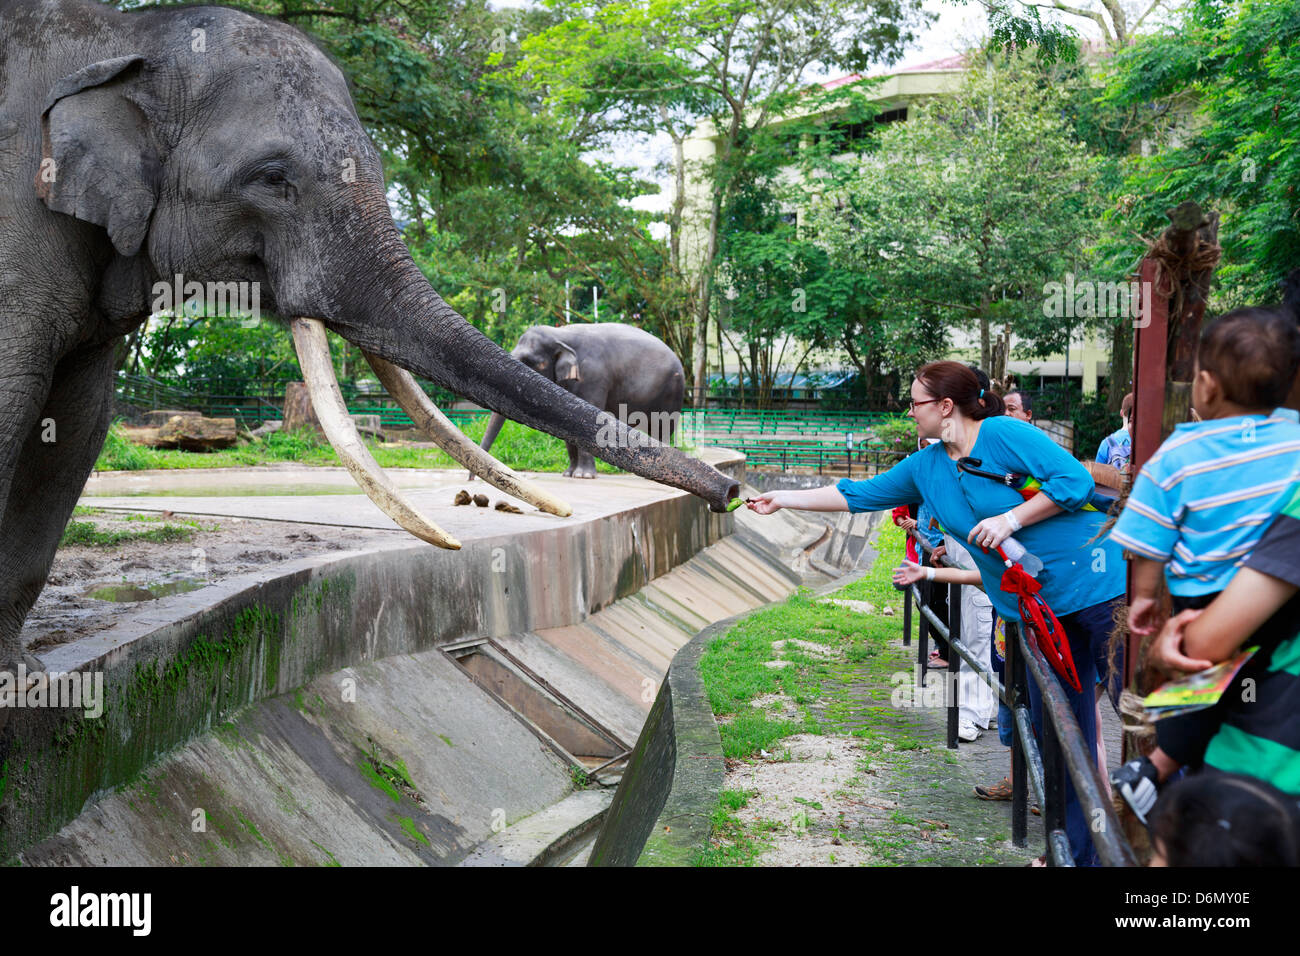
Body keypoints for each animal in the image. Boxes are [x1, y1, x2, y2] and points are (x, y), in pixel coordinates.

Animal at [475, 323, 681, 478]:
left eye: (535, 363)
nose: (471, 479)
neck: (560, 334)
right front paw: (569, 474)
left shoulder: (593, 376)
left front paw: (584, 476)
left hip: (671, 390)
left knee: (662, 427)